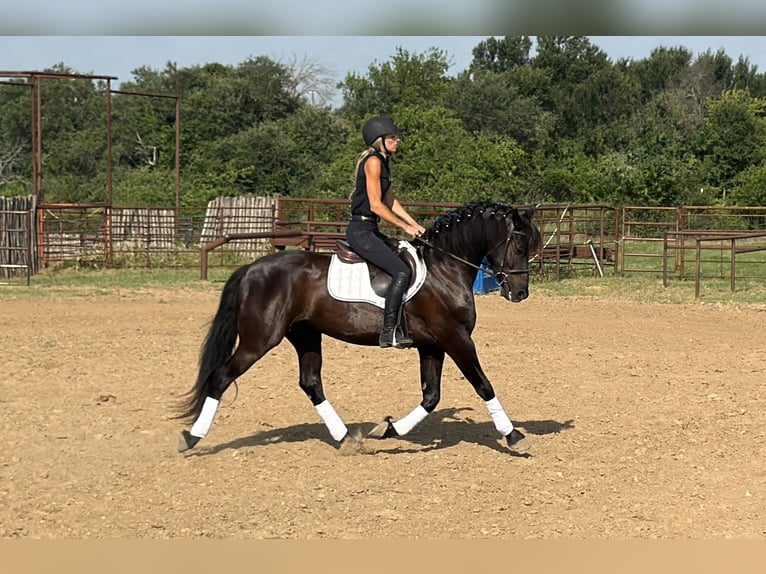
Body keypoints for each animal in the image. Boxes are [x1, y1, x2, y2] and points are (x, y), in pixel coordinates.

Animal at [177, 201, 541, 455]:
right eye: (519, 246)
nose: (520, 293)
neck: (444, 267)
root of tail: (252, 269)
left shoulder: (432, 345)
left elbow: (431, 397)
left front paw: (388, 429)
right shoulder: (455, 338)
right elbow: (483, 385)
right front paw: (514, 437)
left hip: (306, 335)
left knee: (311, 383)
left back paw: (346, 438)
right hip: (260, 339)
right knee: (222, 377)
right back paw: (191, 438)